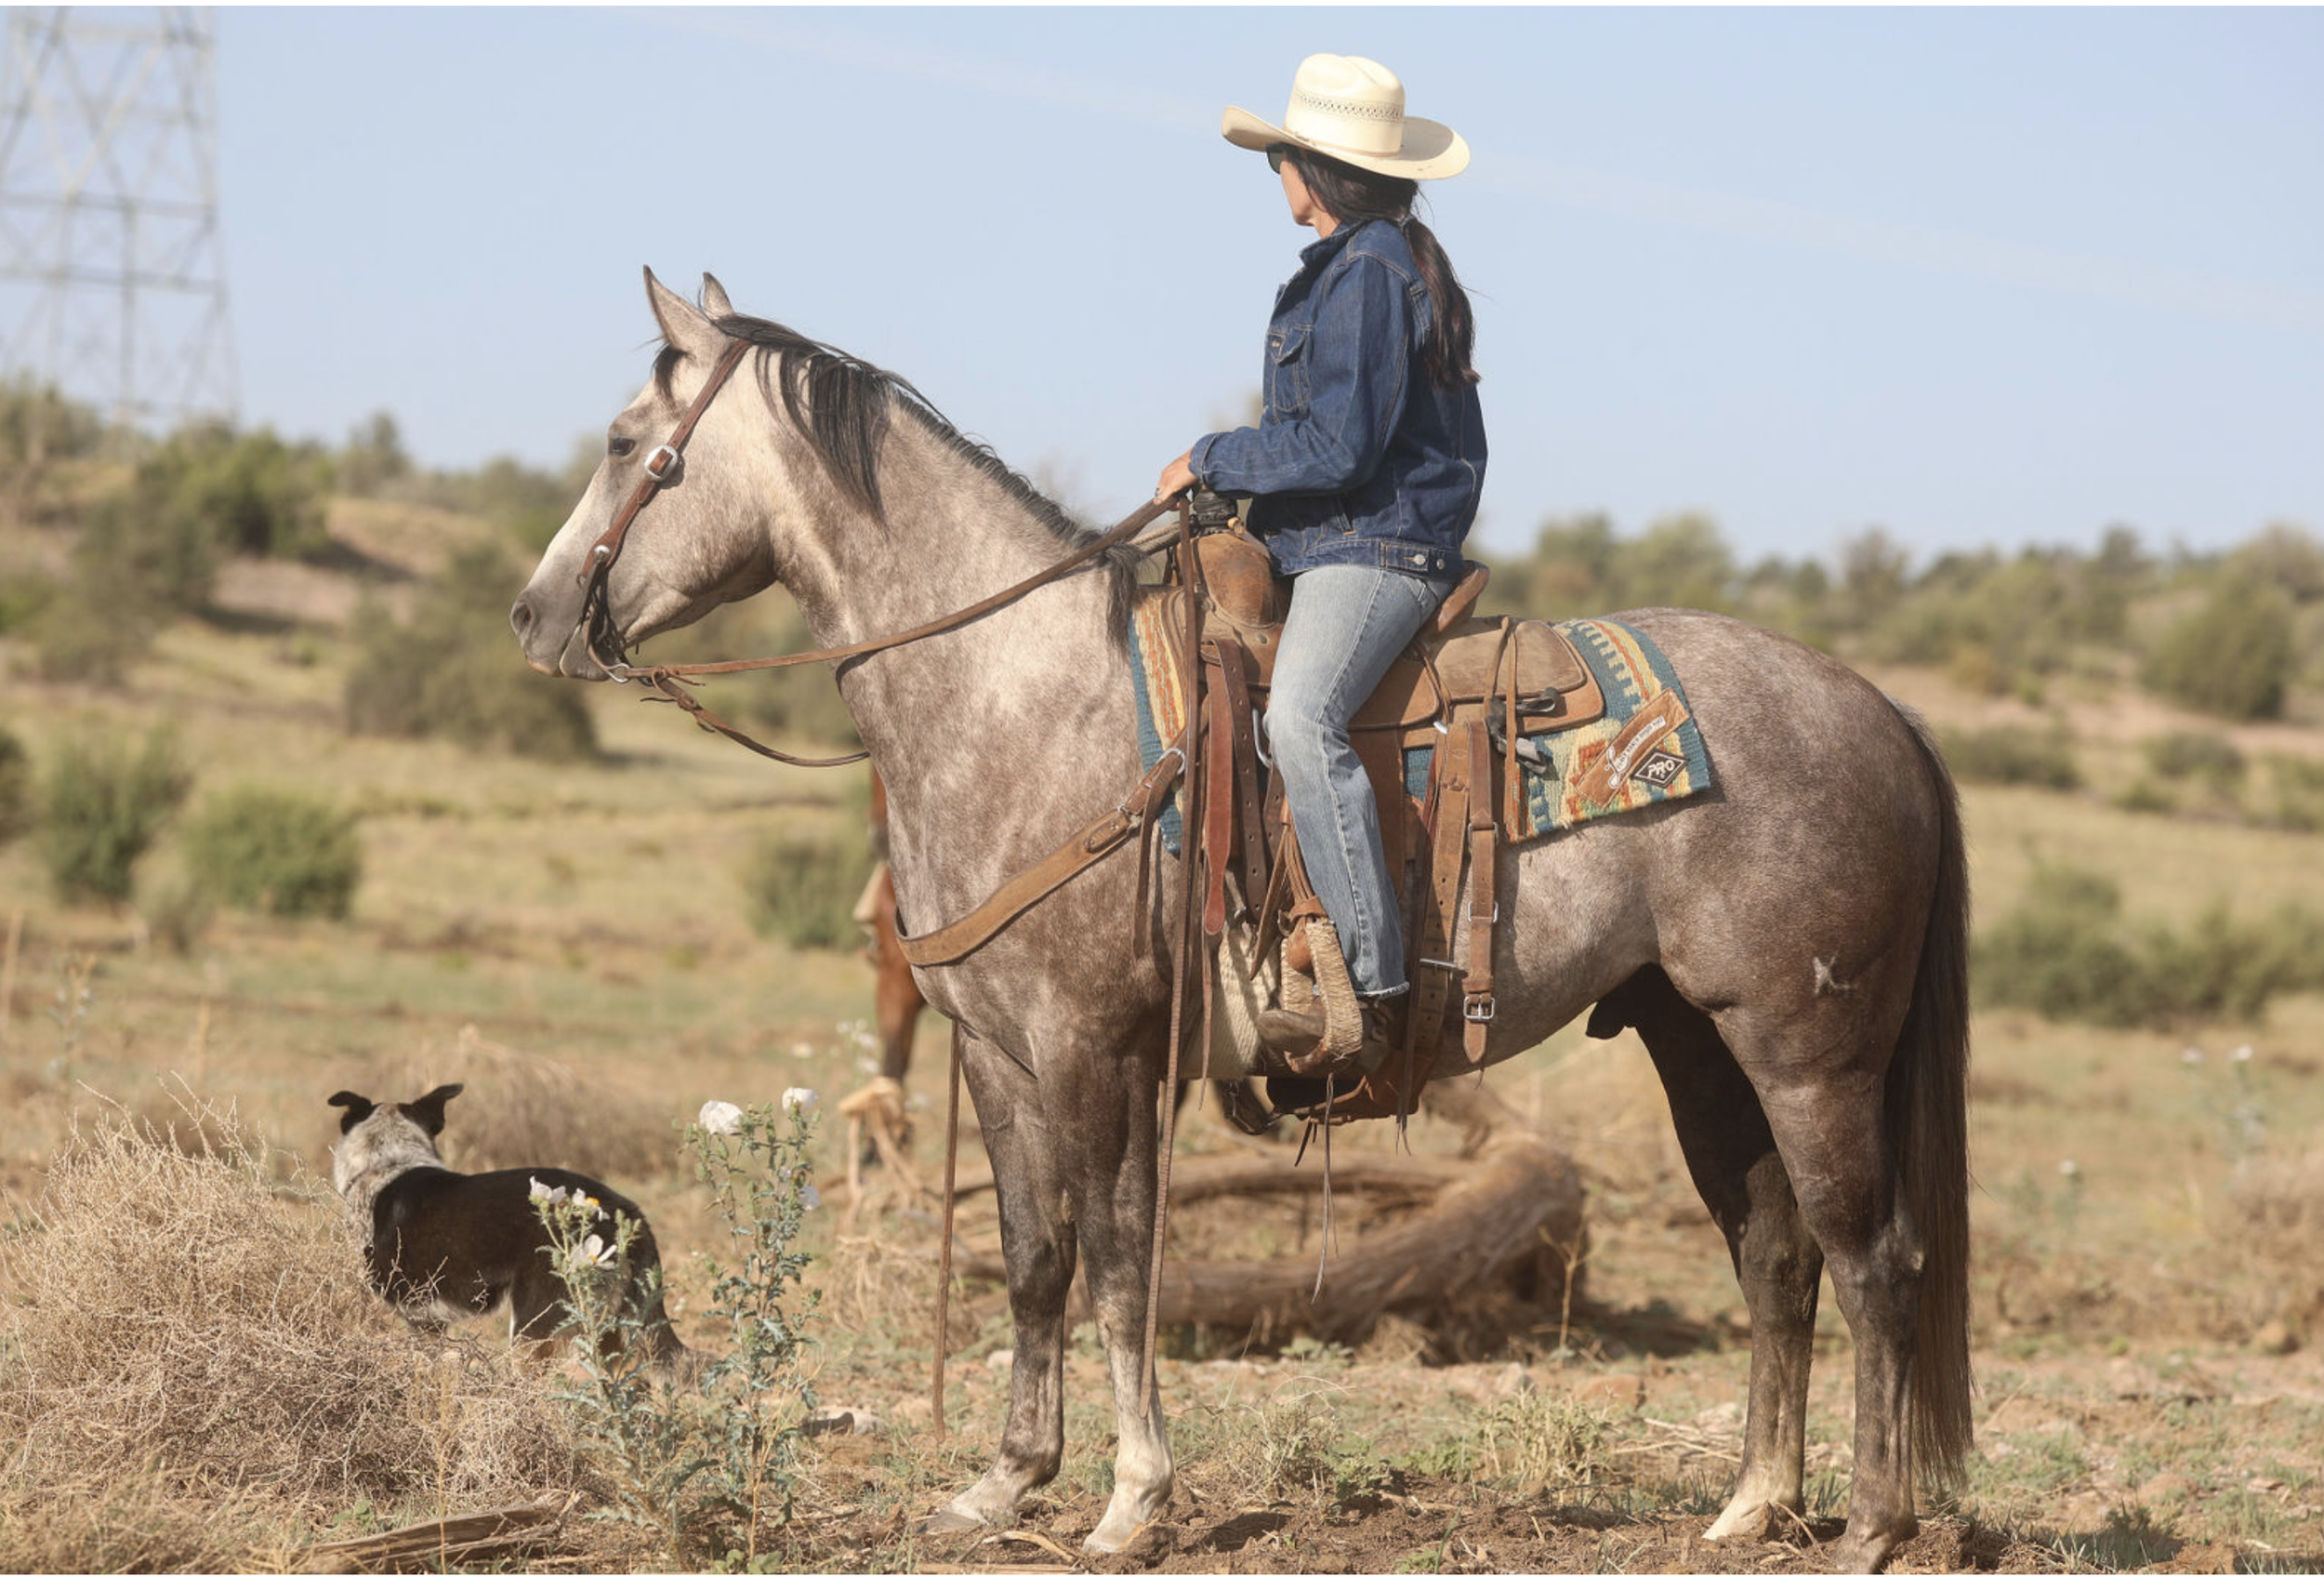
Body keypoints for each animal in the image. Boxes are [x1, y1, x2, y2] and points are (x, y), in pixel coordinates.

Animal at [511, 269, 1972, 1572]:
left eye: (625, 445)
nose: (534, 615)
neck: (1019, 699)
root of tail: (1881, 711)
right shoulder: (996, 1051)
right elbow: (1033, 1257)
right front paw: (1004, 1483)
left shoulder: (1101, 1050)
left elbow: (1119, 1261)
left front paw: (1130, 1500)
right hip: (1697, 1041)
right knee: (1775, 1253)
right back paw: (1753, 1508)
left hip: (1809, 1054)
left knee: (1876, 1258)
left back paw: (1872, 1528)